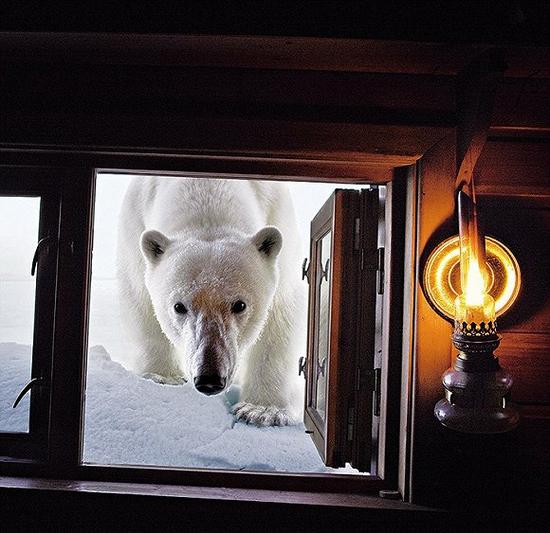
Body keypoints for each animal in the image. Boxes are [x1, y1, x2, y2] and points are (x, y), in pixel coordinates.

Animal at [117, 177, 306, 426]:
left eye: (240, 305)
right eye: (179, 306)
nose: (209, 379)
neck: (207, 188)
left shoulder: (278, 215)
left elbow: (280, 312)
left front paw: (262, 410)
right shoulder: (135, 220)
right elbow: (140, 297)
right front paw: (162, 376)